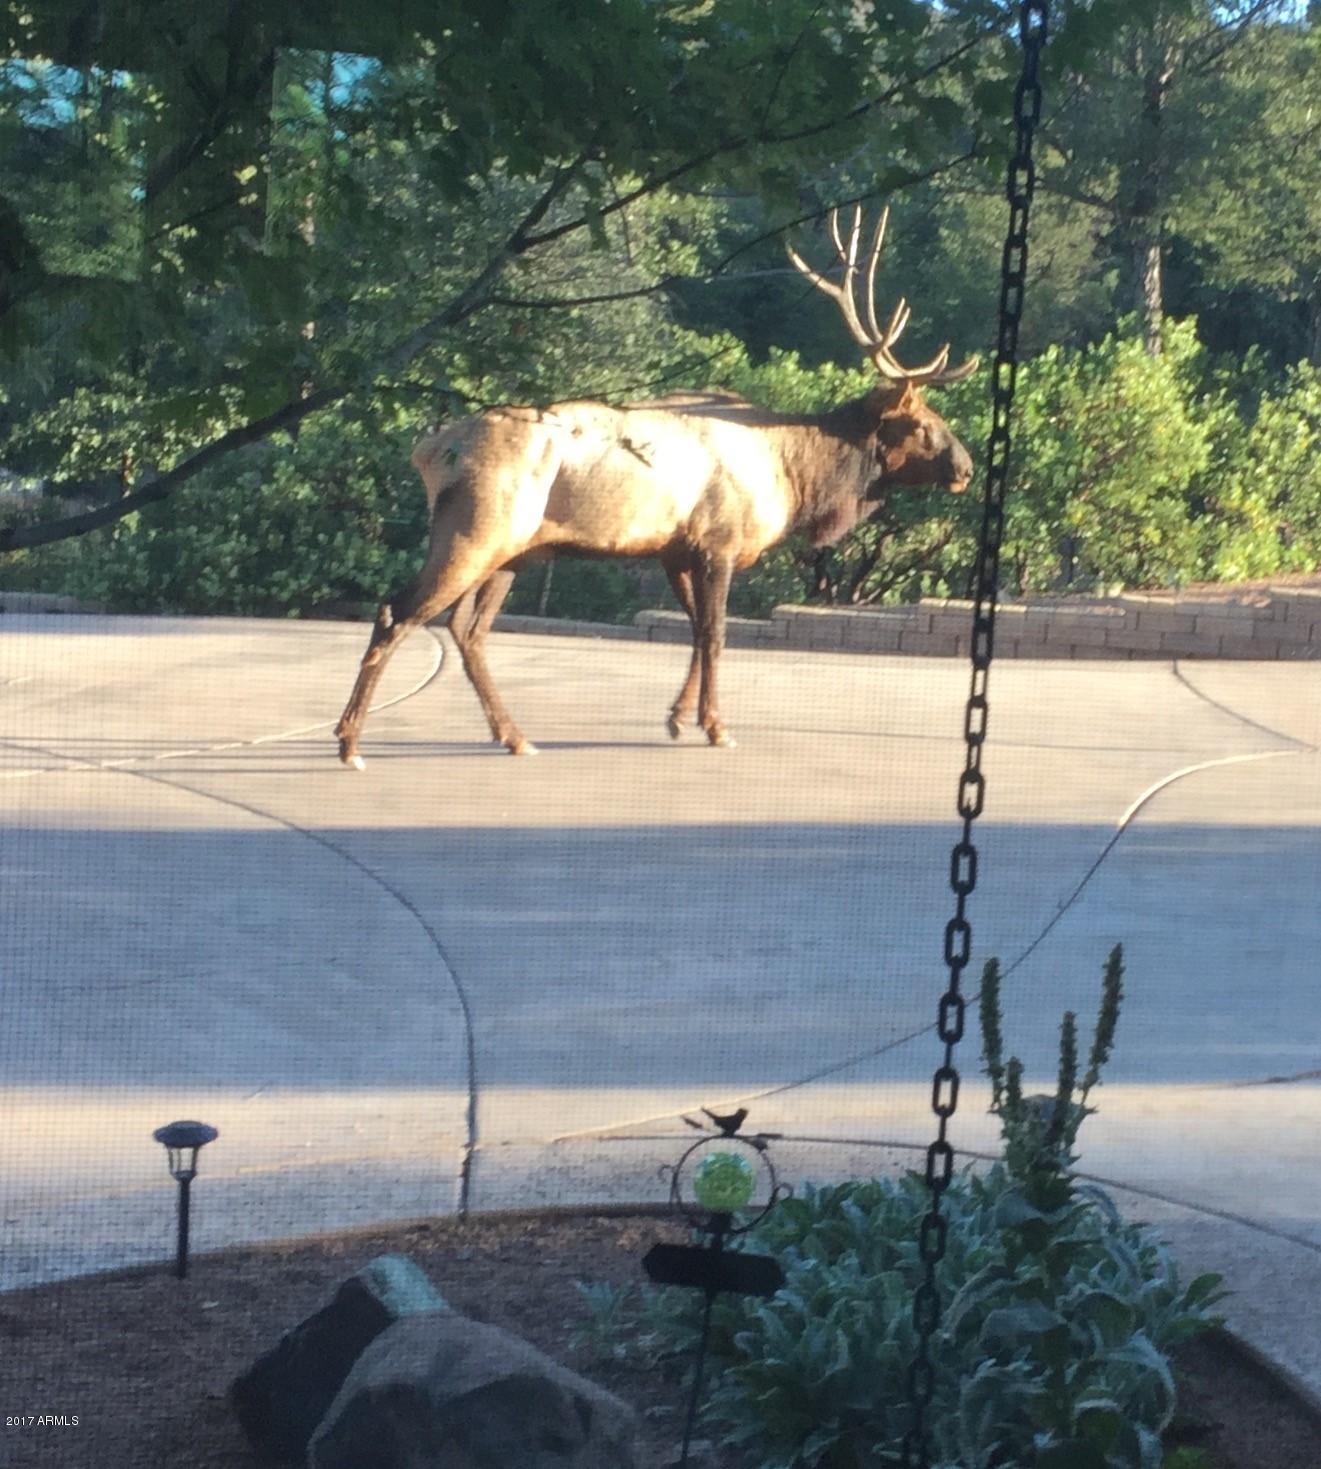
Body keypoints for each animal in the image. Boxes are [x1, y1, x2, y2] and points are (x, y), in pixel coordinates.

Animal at [334, 207, 977, 769]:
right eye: (924, 422)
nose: (967, 467)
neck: (795, 477)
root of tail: (428, 451)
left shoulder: (675, 551)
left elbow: (693, 632)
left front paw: (676, 717)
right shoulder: (718, 543)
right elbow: (715, 634)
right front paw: (716, 726)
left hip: (513, 551)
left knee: (467, 632)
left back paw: (513, 736)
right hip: (475, 530)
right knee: (399, 612)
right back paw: (350, 742)